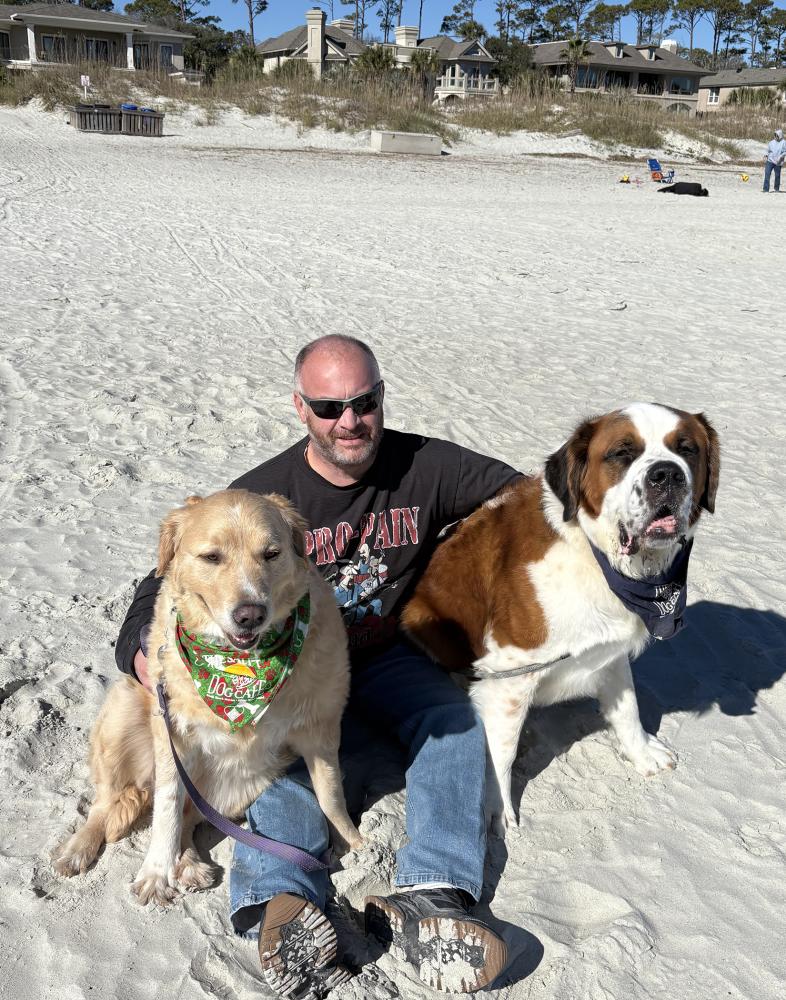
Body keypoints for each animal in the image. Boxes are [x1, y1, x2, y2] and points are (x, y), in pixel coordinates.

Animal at [54, 490, 361, 904]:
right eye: (211, 557)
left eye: (272, 554)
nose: (250, 614)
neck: (239, 668)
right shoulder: (172, 733)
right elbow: (167, 806)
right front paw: (155, 871)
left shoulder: (321, 729)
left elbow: (331, 795)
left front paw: (354, 843)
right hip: (122, 713)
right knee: (107, 805)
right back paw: (79, 849)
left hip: (247, 779)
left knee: (192, 816)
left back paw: (188, 864)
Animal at [402, 404, 719, 833]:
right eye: (623, 453)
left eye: (686, 449)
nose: (667, 474)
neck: (597, 555)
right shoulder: (509, 674)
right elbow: (501, 753)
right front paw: (499, 809)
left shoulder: (610, 650)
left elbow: (628, 707)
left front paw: (641, 752)